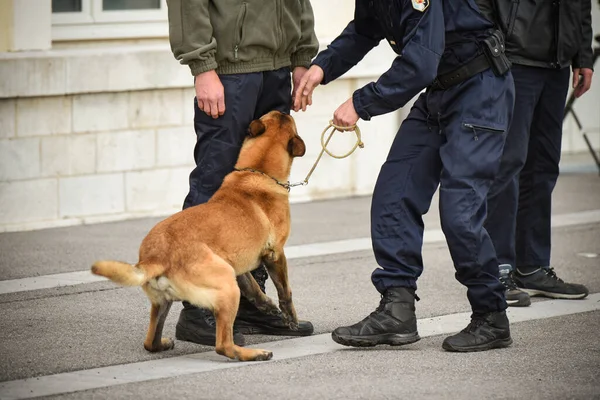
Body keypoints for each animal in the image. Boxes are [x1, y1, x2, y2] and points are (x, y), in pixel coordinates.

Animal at [91, 110, 308, 362]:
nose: (284, 110)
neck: (257, 171)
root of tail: (156, 258)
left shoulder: (237, 266)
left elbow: (254, 288)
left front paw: (267, 306)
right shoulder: (275, 254)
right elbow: (285, 291)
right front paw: (290, 318)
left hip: (170, 300)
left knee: (150, 342)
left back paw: (162, 343)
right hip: (226, 285)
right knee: (223, 345)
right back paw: (254, 353)